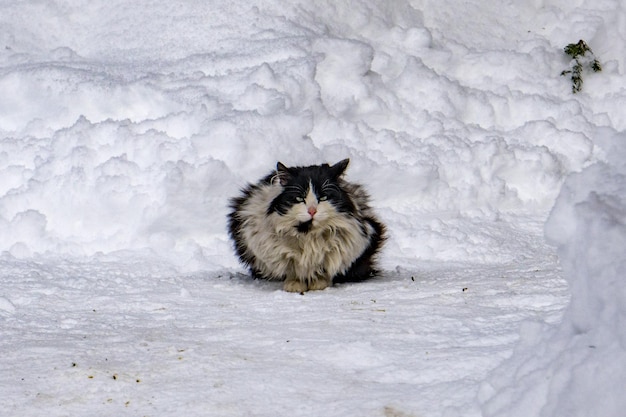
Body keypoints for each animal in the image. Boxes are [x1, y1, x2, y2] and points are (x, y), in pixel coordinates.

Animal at [228, 158, 386, 290]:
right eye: (299, 198)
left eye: (323, 197)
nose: (312, 210)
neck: (308, 234)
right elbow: (291, 268)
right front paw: (294, 285)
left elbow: (325, 268)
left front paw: (318, 283)